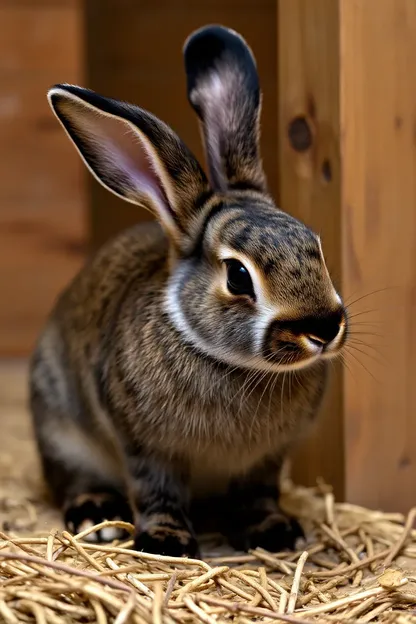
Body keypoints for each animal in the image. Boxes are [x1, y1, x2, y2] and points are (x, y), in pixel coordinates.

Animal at [30, 23, 348, 556]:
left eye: (316, 246)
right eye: (238, 276)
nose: (323, 329)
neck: (234, 364)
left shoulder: (266, 461)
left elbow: (259, 495)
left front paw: (275, 532)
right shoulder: (146, 448)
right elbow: (157, 491)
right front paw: (165, 543)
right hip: (59, 427)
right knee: (74, 478)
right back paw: (100, 516)